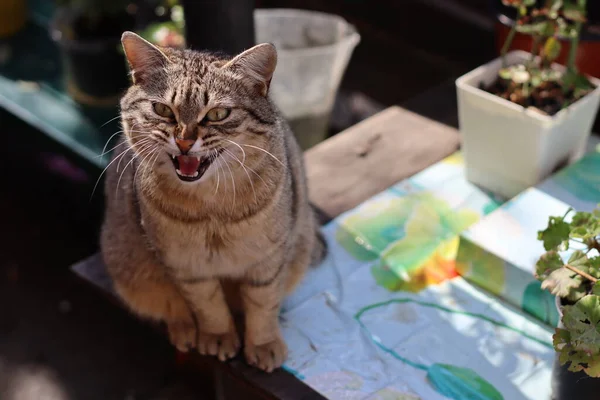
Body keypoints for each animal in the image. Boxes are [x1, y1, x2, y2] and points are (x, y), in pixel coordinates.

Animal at [99, 31, 324, 372]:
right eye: (163, 110)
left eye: (218, 114)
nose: (184, 141)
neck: (211, 206)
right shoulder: (187, 267)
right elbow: (208, 306)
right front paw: (218, 336)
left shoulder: (269, 259)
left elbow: (263, 303)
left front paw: (263, 342)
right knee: (171, 307)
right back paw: (184, 329)